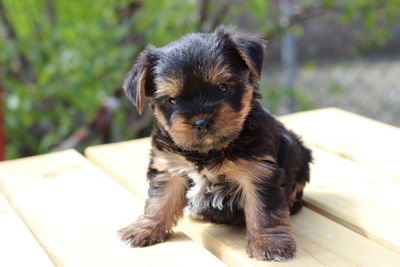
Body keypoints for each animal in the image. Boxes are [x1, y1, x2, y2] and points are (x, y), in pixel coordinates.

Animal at [119, 25, 312, 262]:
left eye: (223, 87)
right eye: (172, 100)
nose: (202, 122)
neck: (208, 151)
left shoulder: (257, 171)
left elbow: (264, 209)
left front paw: (270, 242)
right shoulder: (168, 166)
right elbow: (160, 200)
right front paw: (145, 228)